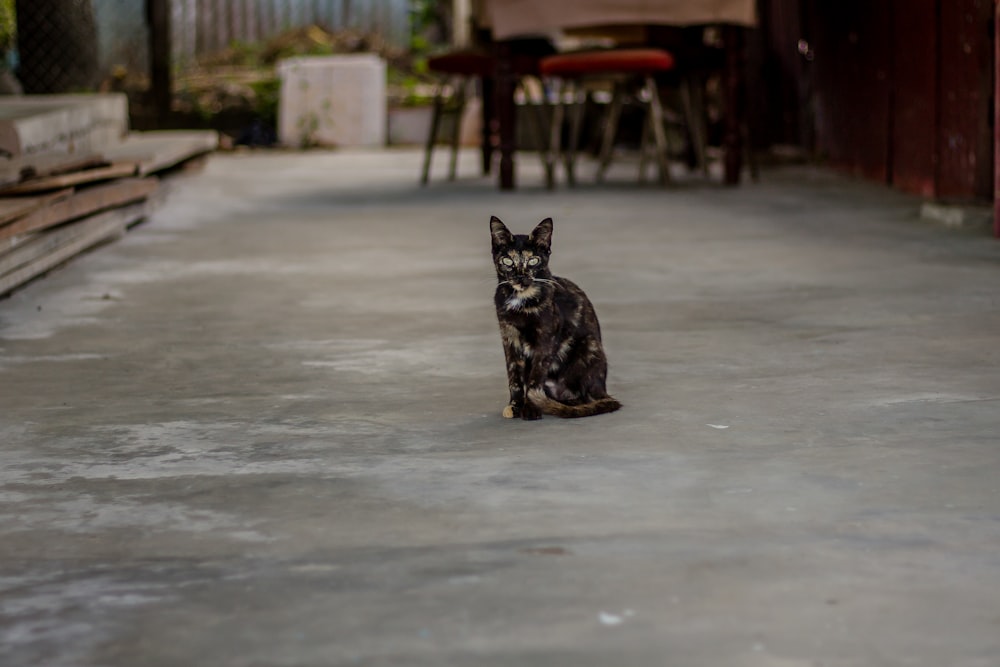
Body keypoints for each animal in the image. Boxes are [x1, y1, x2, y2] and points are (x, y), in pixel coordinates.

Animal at [490, 217, 620, 420]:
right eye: (507, 260)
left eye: (533, 260)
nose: (520, 277)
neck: (522, 301)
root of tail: (603, 389)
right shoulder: (509, 337)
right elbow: (514, 376)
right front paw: (515, 405)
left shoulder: (546, 339)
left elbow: (535, 377)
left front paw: (531, 407)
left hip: (589, 346)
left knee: (585, 398)